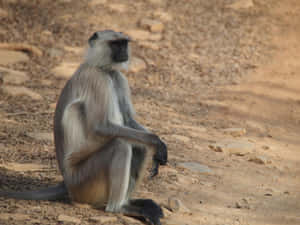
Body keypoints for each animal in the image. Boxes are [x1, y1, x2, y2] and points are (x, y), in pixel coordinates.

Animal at [0, 29, 168, 225]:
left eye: (124, 43)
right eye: (115, 44)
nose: (124, 52)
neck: (103, 68)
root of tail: (67, 182)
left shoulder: (118, 78)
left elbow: (127, 120)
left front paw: (158, 144)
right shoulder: (97, 78)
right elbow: (101, 126)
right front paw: (156, 142)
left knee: (138, 146)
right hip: (82, 180)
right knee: (121, 145)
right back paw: (119, 208)